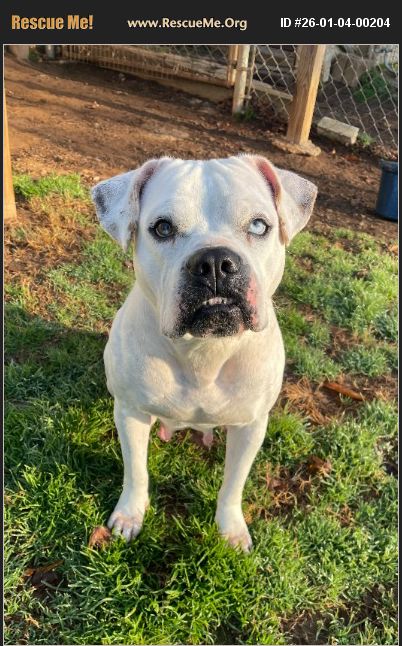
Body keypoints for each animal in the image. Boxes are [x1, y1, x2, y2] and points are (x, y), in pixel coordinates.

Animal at [91, 155, 317, 551]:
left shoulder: (250, 427)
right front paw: (130, 515)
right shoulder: (131, 413)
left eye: (259, 225)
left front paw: (231, 530)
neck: (204, 349)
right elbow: (136, 471)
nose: (214, 262)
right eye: (162, 228)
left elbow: (233, 485)